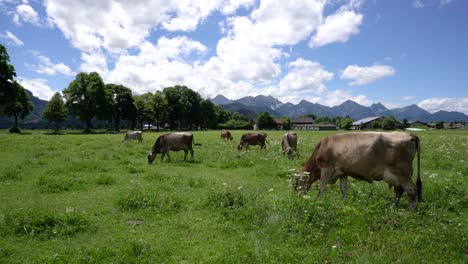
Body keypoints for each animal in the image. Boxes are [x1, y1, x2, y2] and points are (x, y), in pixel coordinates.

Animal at [292, 131, 420, 208]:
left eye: (296, 184)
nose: (297, 198)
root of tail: (409, 134)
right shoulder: (343, 172)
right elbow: (343, 190)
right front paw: (342, 204)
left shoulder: (326, 169)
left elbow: (321, 188)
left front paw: (317, 202)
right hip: (399, 175)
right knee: (399, 190)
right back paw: (393, 207)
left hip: (403, 173)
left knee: (411, 190)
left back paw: (411, 211)